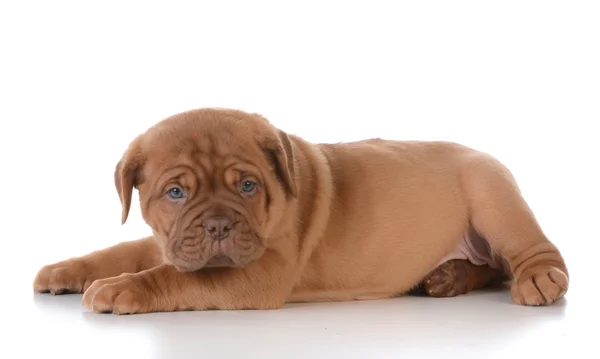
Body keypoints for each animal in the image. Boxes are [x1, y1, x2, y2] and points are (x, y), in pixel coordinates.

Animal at [31, 107, 568, 316]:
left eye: (248, 186)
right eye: (176, 193)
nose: (219, 225)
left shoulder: (259, 273)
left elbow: (170, 278)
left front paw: (121, 289)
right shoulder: (170, 241)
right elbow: (122, 250)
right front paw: (66, 269)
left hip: (492, 194)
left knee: (528, 255)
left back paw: (538, 279)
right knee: (491, 267)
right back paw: (448, 277)